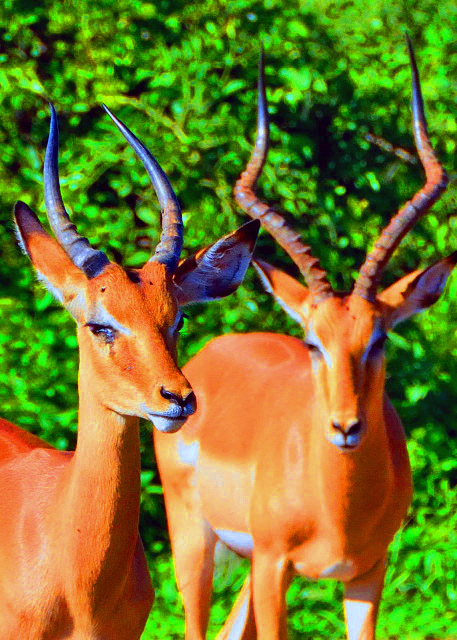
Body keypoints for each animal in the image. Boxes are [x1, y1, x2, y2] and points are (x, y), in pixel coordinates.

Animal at [153, 39, 454, 640]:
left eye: (379, 340)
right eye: (313, 342)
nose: (345, 427)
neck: (336, 507)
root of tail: (213, 352)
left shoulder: (367, 572)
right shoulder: (274, 564)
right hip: (195, 541)